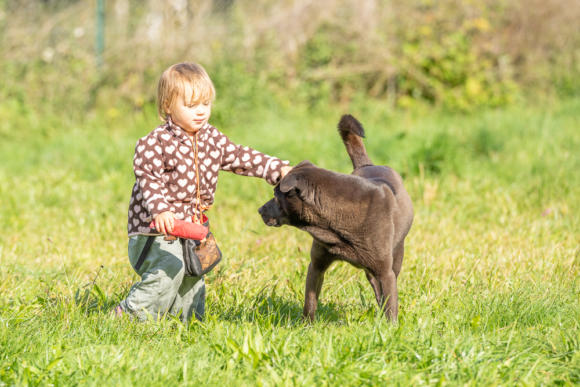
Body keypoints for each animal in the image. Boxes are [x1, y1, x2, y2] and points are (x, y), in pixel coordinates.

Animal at [258, 114, 412, 322]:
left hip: (396, 255)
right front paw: (306, 325)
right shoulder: (316, 265)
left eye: (276, 195)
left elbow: (390, 306)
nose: (260, 210)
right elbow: (310, 301)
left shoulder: (385, 273)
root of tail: (368, 165)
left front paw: (390, 328)